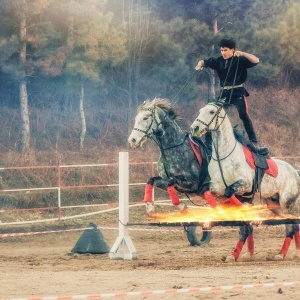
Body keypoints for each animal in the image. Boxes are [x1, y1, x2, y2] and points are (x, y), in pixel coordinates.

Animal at [192, 100, 300, 260]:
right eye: (200, 111)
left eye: (211, 112)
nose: (195, 128)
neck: (224, 156)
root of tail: (295, 172)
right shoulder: (216, 187)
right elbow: (209, 192)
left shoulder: (245, 185)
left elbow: (230, 193)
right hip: (274, 204)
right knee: (294, 224)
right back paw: (294, 252)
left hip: (286, 203)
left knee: (290, 226)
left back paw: (281, 254)